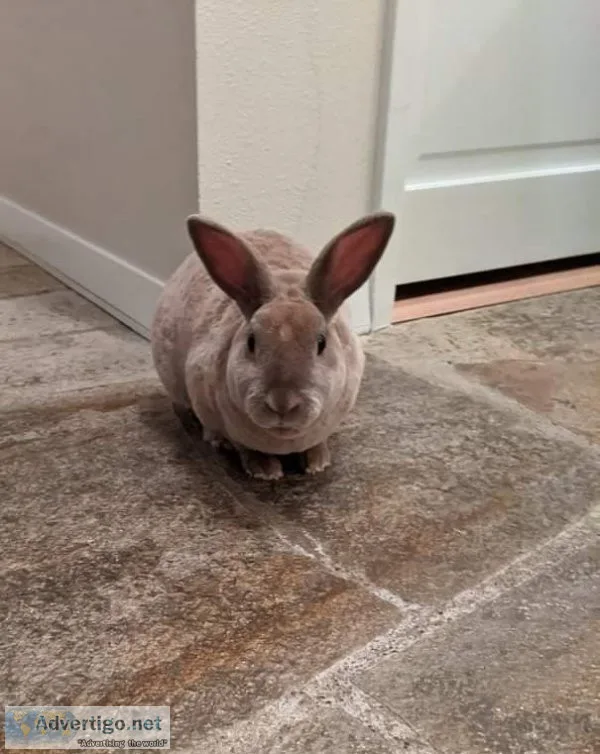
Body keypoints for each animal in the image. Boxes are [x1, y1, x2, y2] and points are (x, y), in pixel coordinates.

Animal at [151, 211, 395, 480]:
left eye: (321, 343)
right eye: (251, 341)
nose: (282, 404)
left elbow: (317, 443)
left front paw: (318, 462)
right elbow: (242, 446)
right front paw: (265, 470)